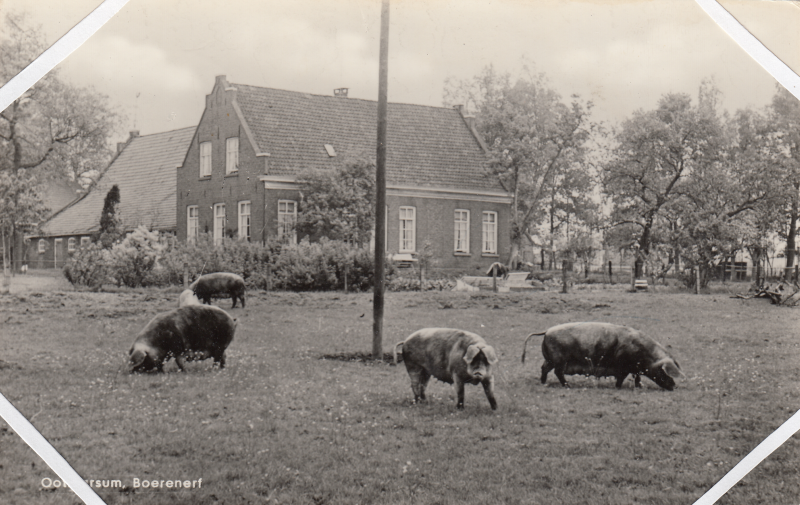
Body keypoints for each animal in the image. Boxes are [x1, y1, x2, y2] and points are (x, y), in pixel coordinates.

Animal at [520, 322, 684, 390]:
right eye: (665, 372)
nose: (674, 386)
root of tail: (547, 331)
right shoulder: (623, 367)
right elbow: (621, 378)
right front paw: (618, 387)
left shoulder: (635, 369)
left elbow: (637, 377)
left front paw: (639, 386)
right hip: (559, 360)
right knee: (557, 372)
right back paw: (567, 386)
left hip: (550, 359)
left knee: (544, 368)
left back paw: (543, 383)